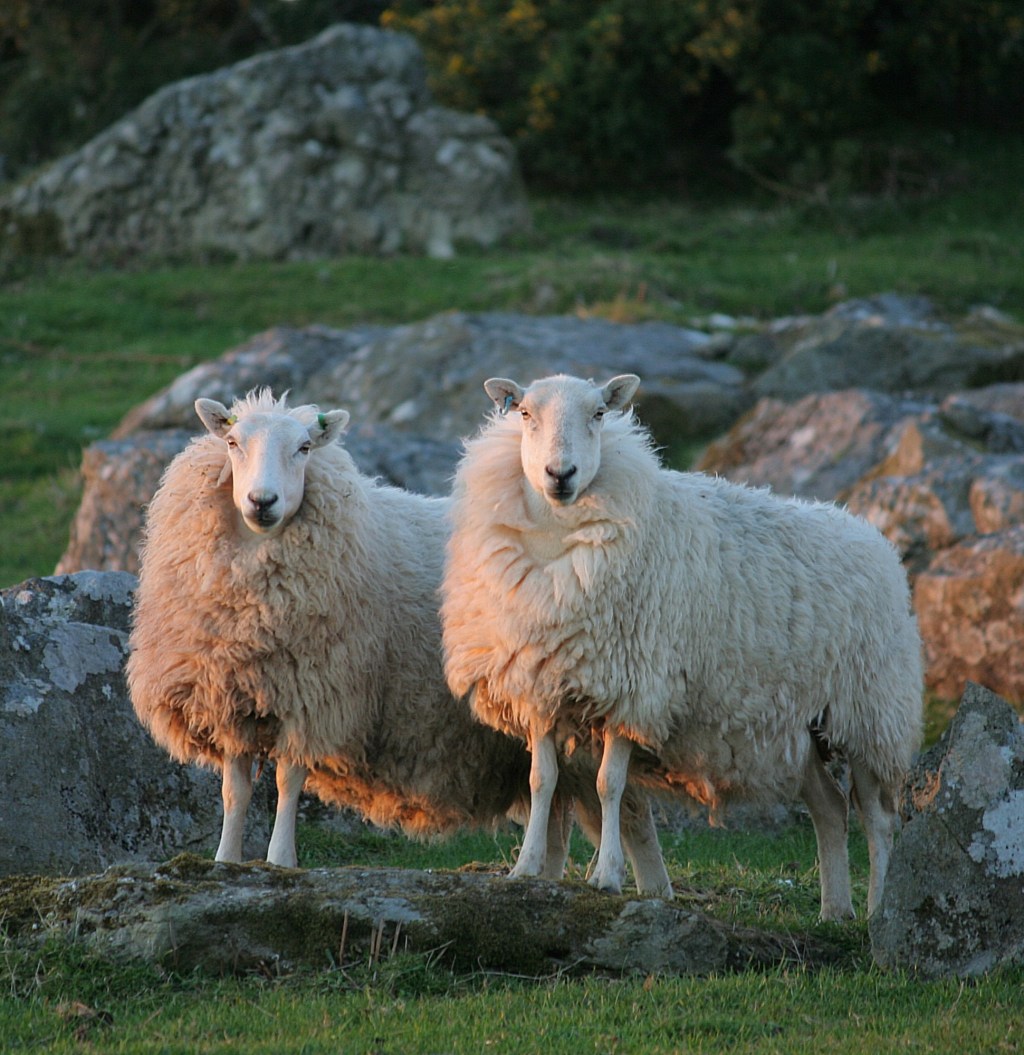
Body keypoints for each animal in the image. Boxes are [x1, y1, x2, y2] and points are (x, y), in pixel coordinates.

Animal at [127, 387, 672, 891]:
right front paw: (225, 862)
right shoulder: (231, 696)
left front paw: (280, 861)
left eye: (305, 448)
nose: (262, 502)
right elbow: (235, 791)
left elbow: (287, 780)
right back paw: (547, 876)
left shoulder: (316, 695)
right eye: (233, 442)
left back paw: (641, 887)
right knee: (560, 808)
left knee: (629, 813)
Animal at [441, 372, 924, 919]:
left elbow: (610, 784)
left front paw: (607, 877)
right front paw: (525, 868)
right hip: (800, 723)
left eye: (599, 414)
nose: (560, 474)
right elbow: (541, 780)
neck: (558, 541)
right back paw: (834, 911)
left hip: (871, 710)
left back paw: (878, 910)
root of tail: (870, 534)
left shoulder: (633, 688)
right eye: (524, 413)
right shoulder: (538, 683)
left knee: (878, 818)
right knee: (830, 806)